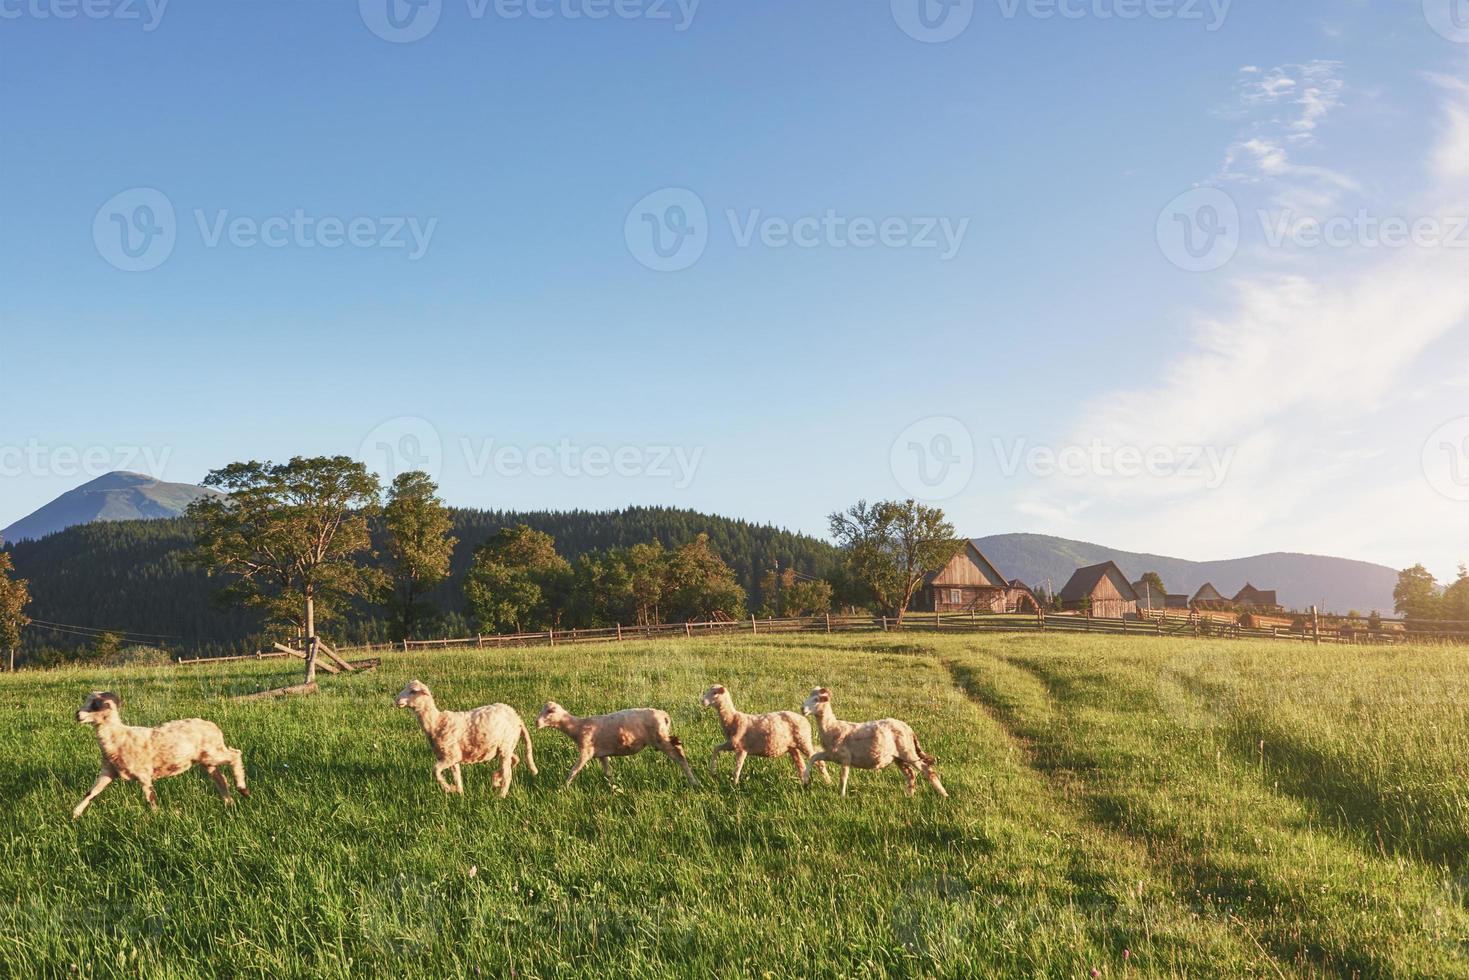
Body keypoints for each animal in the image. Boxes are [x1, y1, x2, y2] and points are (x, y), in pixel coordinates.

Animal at [70, 690, 248, 822]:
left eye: (95, 705)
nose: (77, 714)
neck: (118, 737)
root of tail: (214, 727)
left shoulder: (143, 773)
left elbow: (150, 798)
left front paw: (157, 818)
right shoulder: (108, 771)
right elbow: (90, 793)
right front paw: (75, 814)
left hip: (213, 752)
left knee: (235, 754)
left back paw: (242, 789)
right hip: (207, 759)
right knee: (221, 779)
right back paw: (229, 803)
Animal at [396, 681, 540, 799]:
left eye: (413, 691)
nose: (396, 700)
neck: (436, 722)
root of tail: (517, 718)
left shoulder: (451, 756)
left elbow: (435, 770)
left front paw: (448, 788)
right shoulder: (452, 757)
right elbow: (457, 776)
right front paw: (459, 794)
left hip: (506, 744)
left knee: (508, 774)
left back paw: (500, 796)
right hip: (505, 746)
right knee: (515, 760)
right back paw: (495, 780)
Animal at [540, 705, 699, 787]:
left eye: (549, 712)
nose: (536, 723)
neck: (577, 727)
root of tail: (664, 715)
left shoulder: (586, 751)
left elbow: (573, 771)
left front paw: (564, 788)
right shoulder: (602, 754)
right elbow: (607, 772)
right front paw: (612, 787)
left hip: (660, 739)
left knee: (679, 755)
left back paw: (693, 782)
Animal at [696, 687, 828, 787]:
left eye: (715, 693)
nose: (702, 701)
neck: (733, 719)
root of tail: (805, 721)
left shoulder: (741, 749)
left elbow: (737, 769)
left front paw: (734, 786)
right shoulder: (731, 743)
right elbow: (716, 748)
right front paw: (712, 770)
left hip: (803, 741)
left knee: (819, 761)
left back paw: (828, 782)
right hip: (793, 747)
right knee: (801, 765)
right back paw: (804, 784)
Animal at [799, 690, 946, 799]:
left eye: (816, 699)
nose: (802, 709)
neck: (832, 727)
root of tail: (908, 728)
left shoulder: (845, 757)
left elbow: (843, 777)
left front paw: (842, 796)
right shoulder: (831, 754)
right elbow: (814, 757)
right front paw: (805, 780)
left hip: (908, 752)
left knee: (927, 770)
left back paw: (943, 794)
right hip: (898, 757)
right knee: (911, 774)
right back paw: (909, 796)